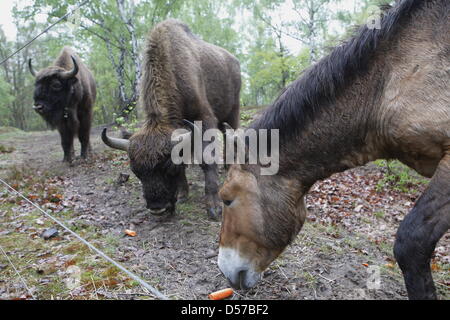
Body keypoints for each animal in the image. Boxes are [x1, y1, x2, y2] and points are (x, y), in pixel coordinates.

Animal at [103, 19, 243, 220]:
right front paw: (183, 195)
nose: (157, 208)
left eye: (167, 167)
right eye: (135, 171)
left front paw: (214, 208)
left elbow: (206, 159)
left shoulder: (204, 118)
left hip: (232, 113)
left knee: (232, 136)